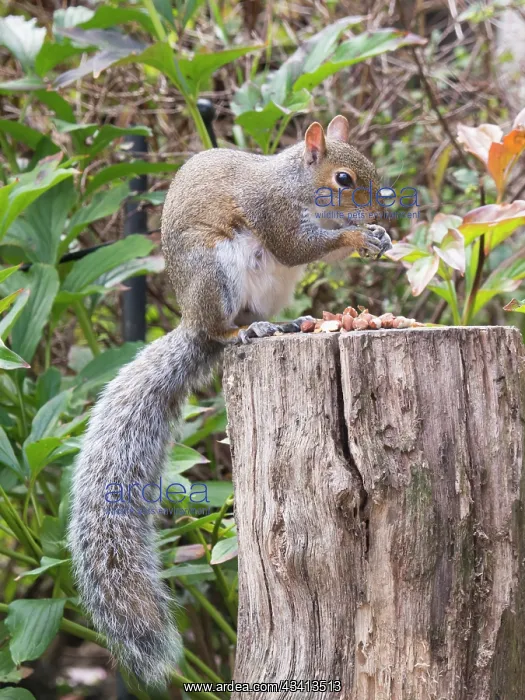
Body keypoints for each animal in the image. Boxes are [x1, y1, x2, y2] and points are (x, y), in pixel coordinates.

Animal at [68, 115, 392, 687]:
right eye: (345, 179)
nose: (379, 215)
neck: (295, 184)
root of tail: (191, 319)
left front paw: (377, 238)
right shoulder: (273, 213)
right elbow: (295, 244)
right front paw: (358, 235)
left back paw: (285, 324)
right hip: (215, 272)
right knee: (222, 332)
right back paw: (246, 331)